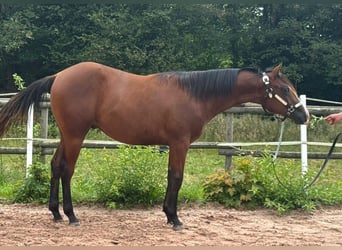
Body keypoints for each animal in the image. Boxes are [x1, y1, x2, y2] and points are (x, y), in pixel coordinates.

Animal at [0, 61, 310, 229]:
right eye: (284, 89)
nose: (303, 115)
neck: (195, 94)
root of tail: (60, 76)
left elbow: (172, 177)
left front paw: (168, 215)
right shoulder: (179, 143)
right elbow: (176, 177)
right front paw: (174, 218)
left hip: (67, 135)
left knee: (55, 166)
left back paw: (54, 213)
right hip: (76, 135)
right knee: (66, 170)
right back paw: (71, 215)